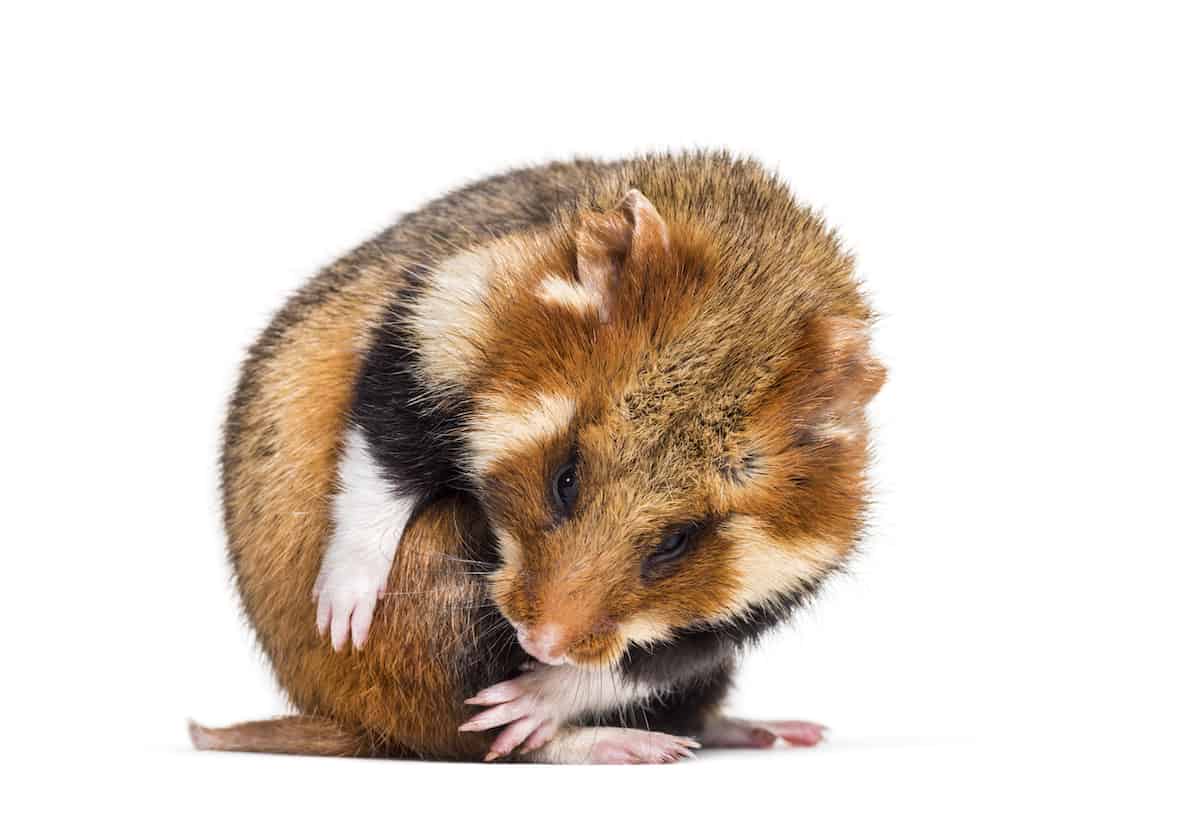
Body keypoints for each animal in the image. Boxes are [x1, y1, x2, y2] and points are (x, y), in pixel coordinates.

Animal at [190, 152, 886, 764]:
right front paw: (342, 614)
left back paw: (754, 731)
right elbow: (383, 459)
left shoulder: (751, 607)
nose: (538, 643)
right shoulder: (428, 330)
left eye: (677, 541)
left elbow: (639, 663)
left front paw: (535, 696)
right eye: (565, 480)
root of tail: (346, 723)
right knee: (470, 739)